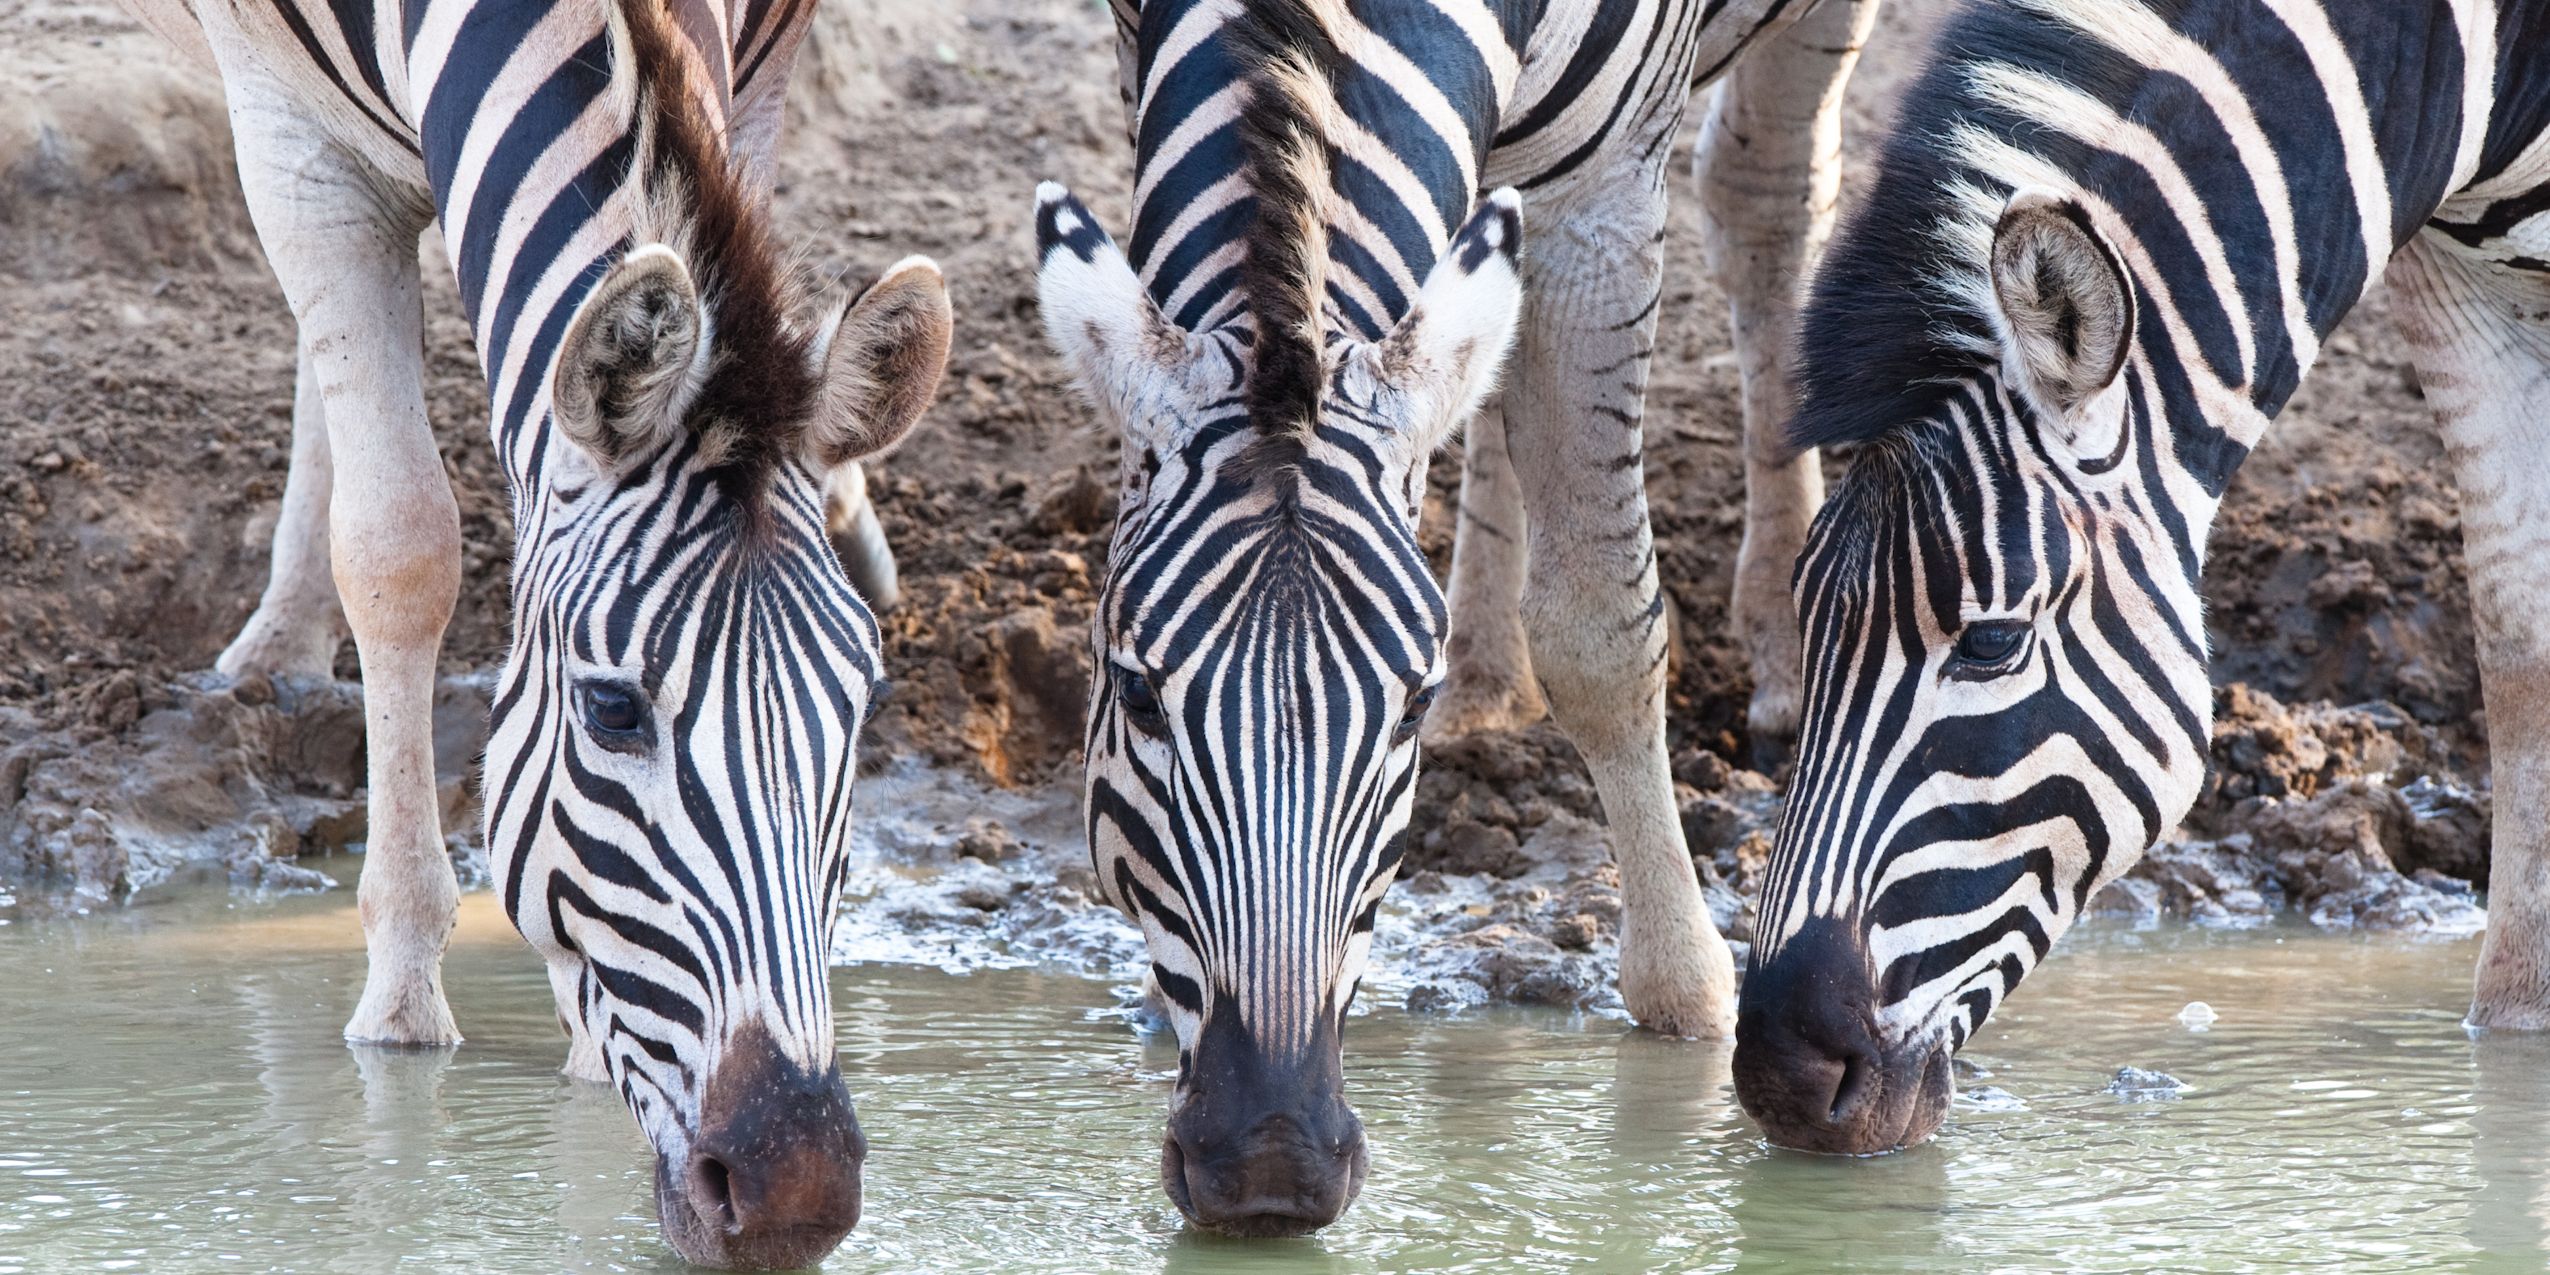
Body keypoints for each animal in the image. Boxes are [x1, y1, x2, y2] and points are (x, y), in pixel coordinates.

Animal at [121, 0, 952, 1264]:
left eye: (862, 709)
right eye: (611, 710)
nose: (794, 1194)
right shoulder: (291, 138)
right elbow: (400, 542)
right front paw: (402, 995)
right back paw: (280, 640)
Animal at [1035, 0, 1881, 1233]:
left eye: (1402, 708)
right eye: (1136, 696)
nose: (1272, 1167)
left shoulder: (1603, 198)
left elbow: (1599, 625)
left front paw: (1684, 989)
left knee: (1764, 198)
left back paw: (1779, 623)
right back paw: (1488, 663)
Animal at [1734, 0, 2550, 1156]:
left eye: (1992, 640)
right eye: (1802, 623)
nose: (1783, 1076)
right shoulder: (2461, 293)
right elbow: (2522, 654)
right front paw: (2519, 1033)